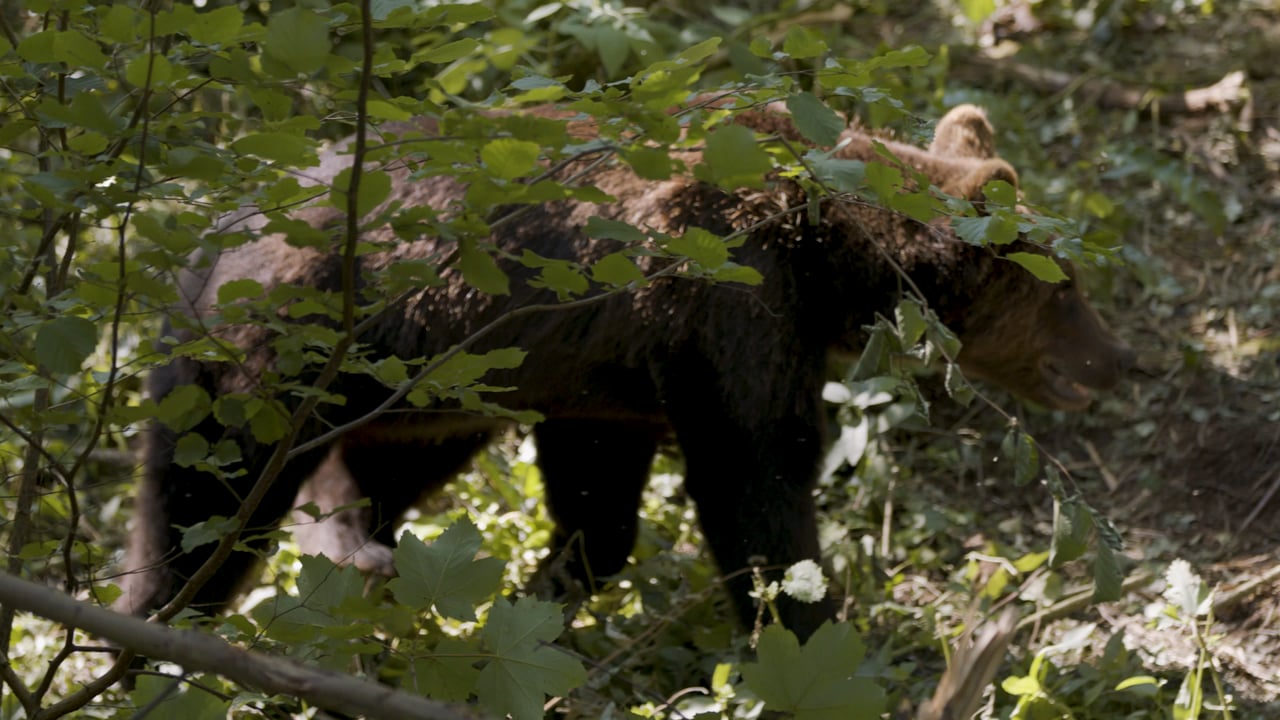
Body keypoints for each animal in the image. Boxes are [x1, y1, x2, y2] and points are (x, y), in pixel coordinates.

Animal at [117, 101, 1135, 640]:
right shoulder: (734, 312)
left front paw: (552, 586)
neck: (832, 262)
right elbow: (757, 476)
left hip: (431, 381)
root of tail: (203, 232)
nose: (1119, 360)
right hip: (271, 355)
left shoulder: (609, 376)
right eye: (1069, 290)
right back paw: (166, 613)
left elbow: (599, 496)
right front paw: (810, 623)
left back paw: (361, 545)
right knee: (206, 498)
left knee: (383, 462)